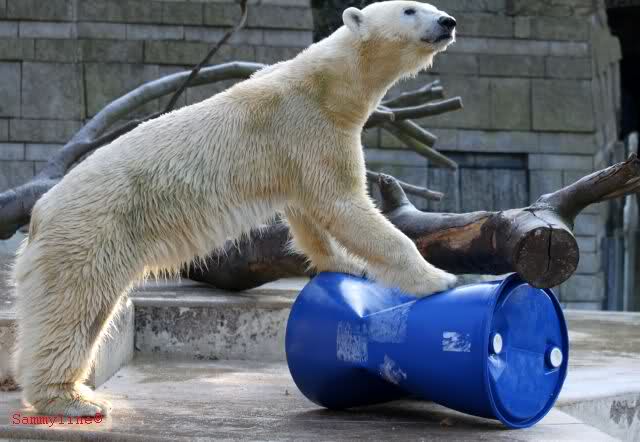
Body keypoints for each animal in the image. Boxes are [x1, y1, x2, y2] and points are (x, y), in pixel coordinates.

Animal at [12, 1, 457, 417]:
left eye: (430, 7)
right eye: (410, 10)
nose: (448, 22)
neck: (328, 85)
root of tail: (39, 215)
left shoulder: (300, 149)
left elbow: (308, 213)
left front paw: (344, 263)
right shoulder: (307, 126)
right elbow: (342, 204)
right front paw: (439, 278)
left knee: (87, 313)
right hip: (90, 237)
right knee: (72, 309)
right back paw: (71, 400)